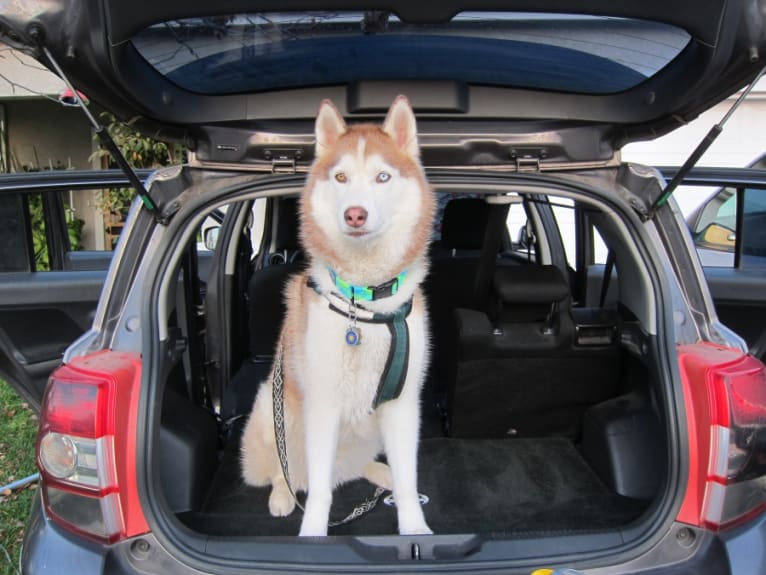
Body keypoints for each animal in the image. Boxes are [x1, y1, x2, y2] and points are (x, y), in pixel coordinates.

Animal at [242, 97, 432, 536]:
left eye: (383, 177)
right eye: (341, 177)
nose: (355, 214)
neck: (365, 302)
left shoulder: (403, 404)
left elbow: (410, 480)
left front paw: (415, 529)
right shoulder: (323, 403)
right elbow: (319, 496)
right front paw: (313, 534)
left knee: (348, 470)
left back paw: (379, 473)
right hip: (271, 410)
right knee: (287, 471)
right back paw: (283, 495)